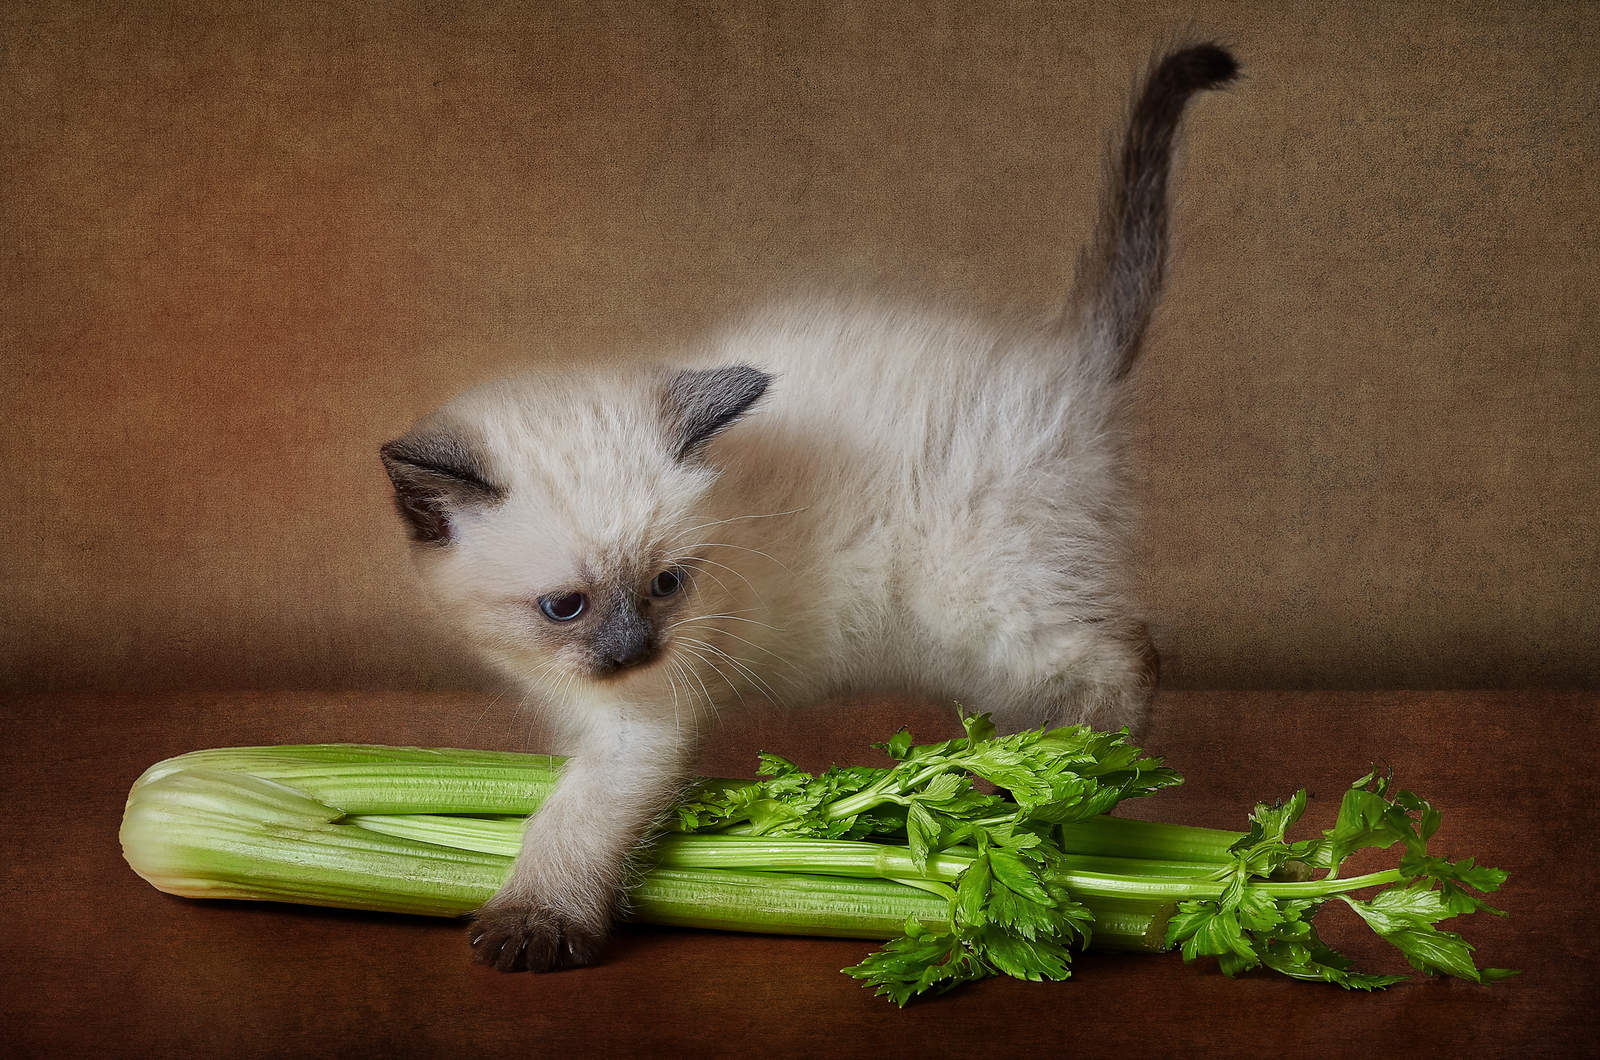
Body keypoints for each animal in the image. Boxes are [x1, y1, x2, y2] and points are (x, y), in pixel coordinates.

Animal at [380, 43, 1241, 973]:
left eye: (667, 586)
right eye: (564, 607)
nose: (635, 650)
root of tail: (1063, 362)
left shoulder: (638, 725)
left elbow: (571, 820)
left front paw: (531, 921)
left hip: (987, 606)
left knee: (1127, 658)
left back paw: (1064, 785)